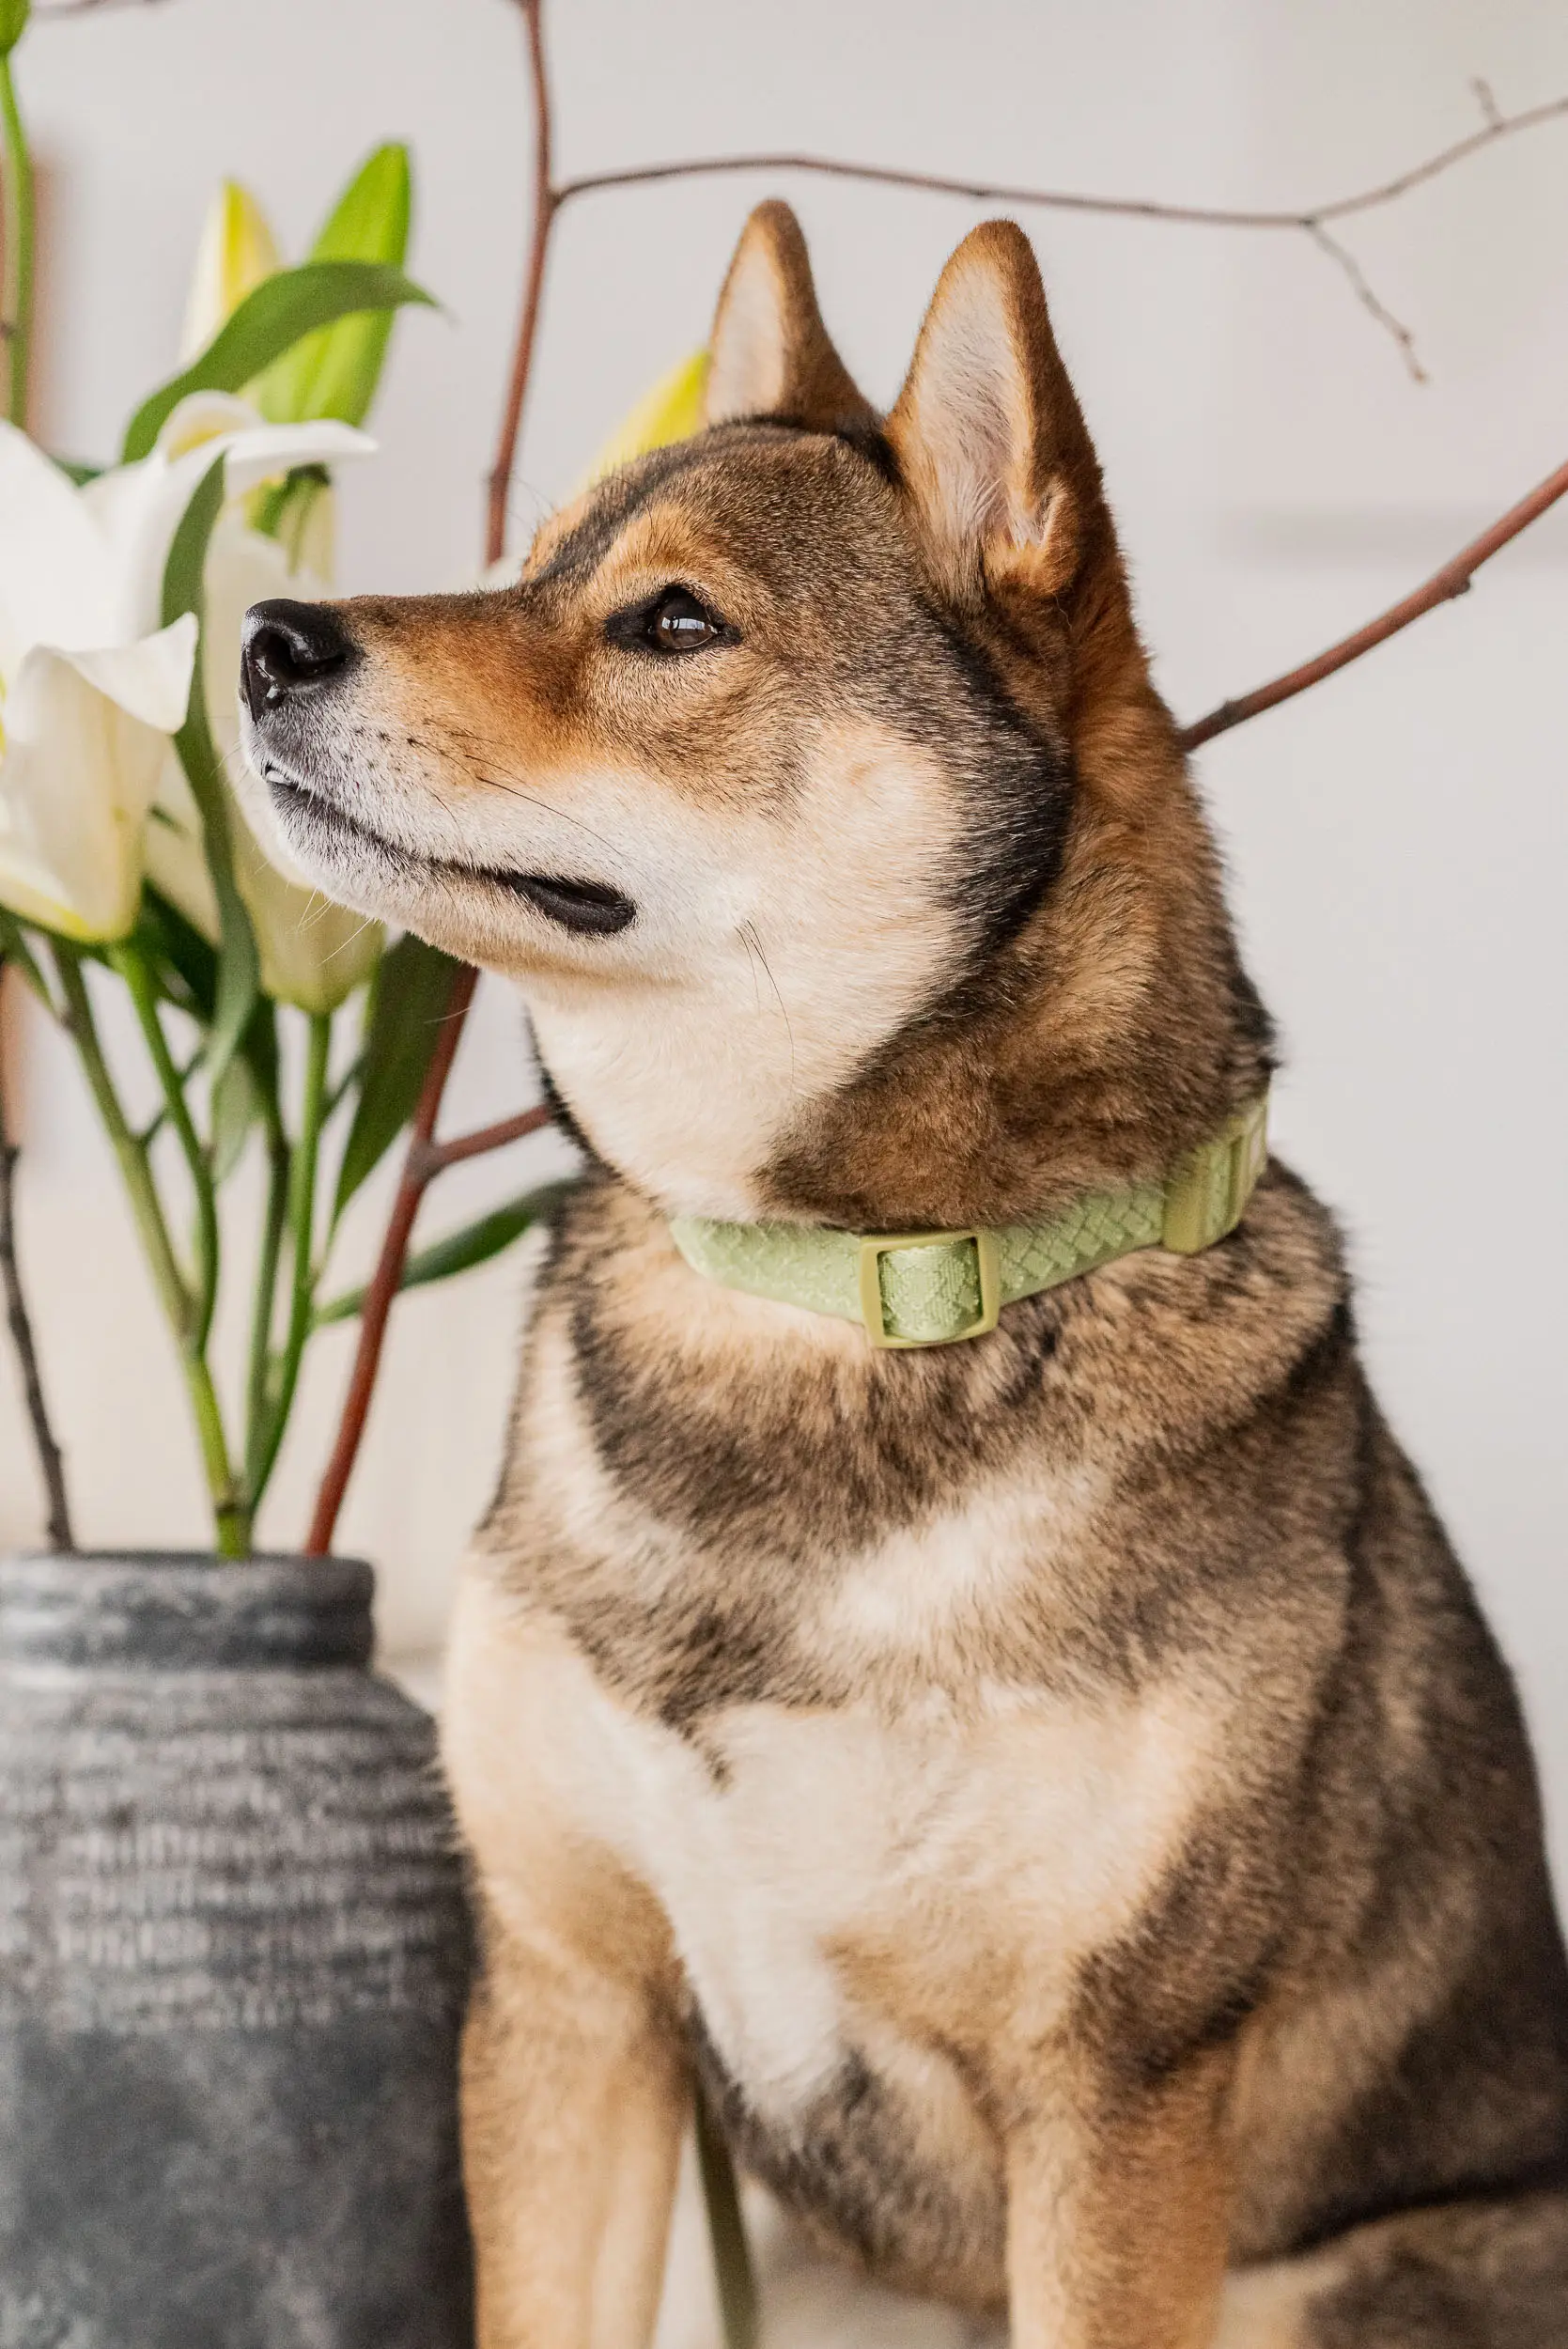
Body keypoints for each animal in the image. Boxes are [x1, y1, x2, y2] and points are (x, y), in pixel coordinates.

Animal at [232, 202, 1568, 2349]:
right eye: (533, 563)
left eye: (671, 625)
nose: (268, 639)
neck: (827, 1301)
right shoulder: (574, 2006)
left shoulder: (1110, 2091)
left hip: (1337, 2282)